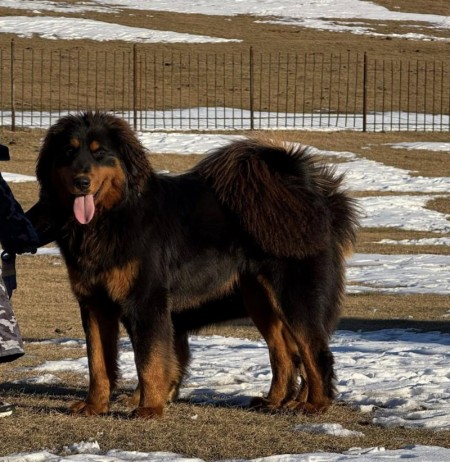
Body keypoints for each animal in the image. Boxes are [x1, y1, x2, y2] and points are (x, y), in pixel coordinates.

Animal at [29, 112, 358, 418]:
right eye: (68, 152)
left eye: (99, 152)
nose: (81, 182)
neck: (109, 218)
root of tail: (314, 195)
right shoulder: (95, 303)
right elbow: (98, 363)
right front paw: (95, 406)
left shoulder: (146, 300)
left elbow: (149, 360)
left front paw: (149, 408)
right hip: (260, 301)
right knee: (285, 354)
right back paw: (274, 401)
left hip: (294, 298)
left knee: (316, 353)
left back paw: (314, 405)